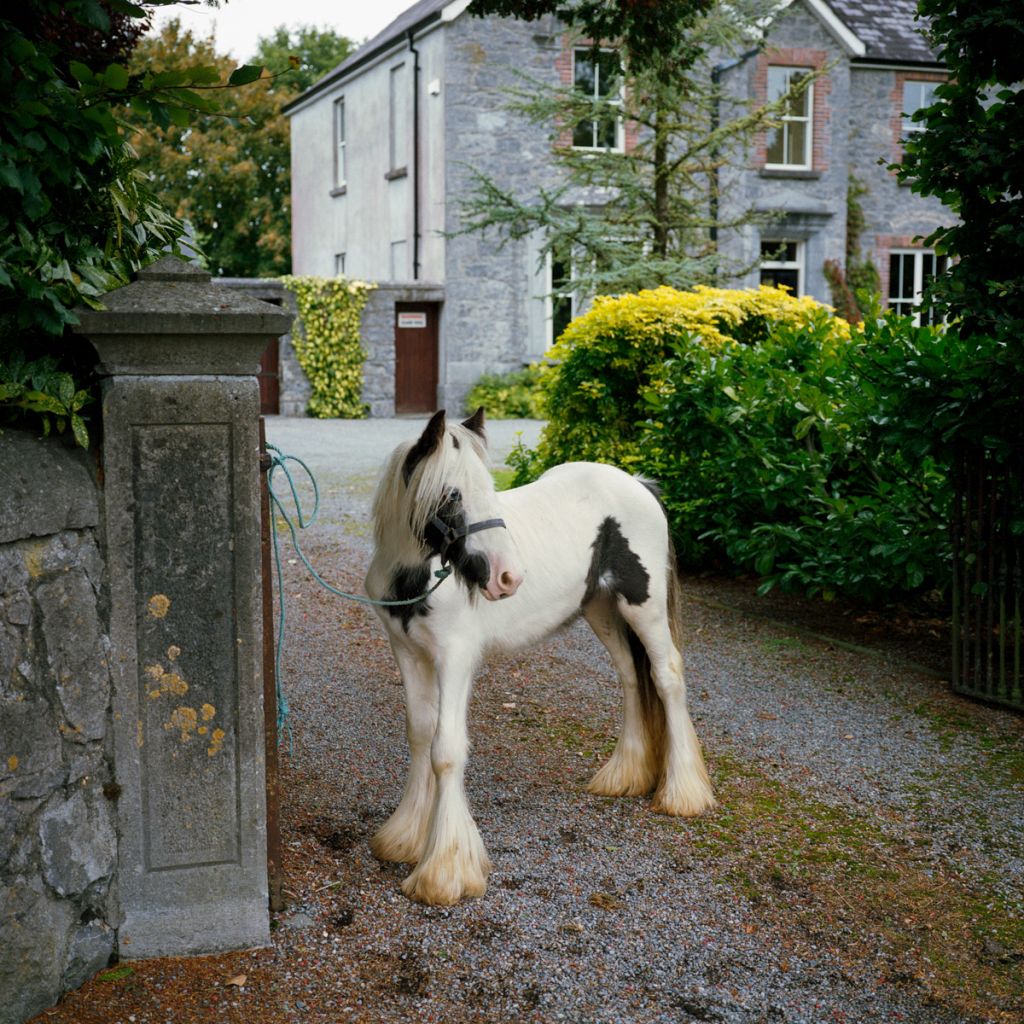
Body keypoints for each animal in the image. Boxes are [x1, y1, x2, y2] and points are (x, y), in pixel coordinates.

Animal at [366, 407, 712, 905]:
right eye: (452, 494)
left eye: (488, 486)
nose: (507, 577)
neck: (416, 577)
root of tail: (638, 484)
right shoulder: (408, 654)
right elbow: (419, 735)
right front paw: (406, 838)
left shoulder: (455, 658)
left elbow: (446, 749)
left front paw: (445, 872)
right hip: (601, 610)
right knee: (631, 677)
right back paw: (623, 776)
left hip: (643, 607)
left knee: (666, 677)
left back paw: (683, 794)